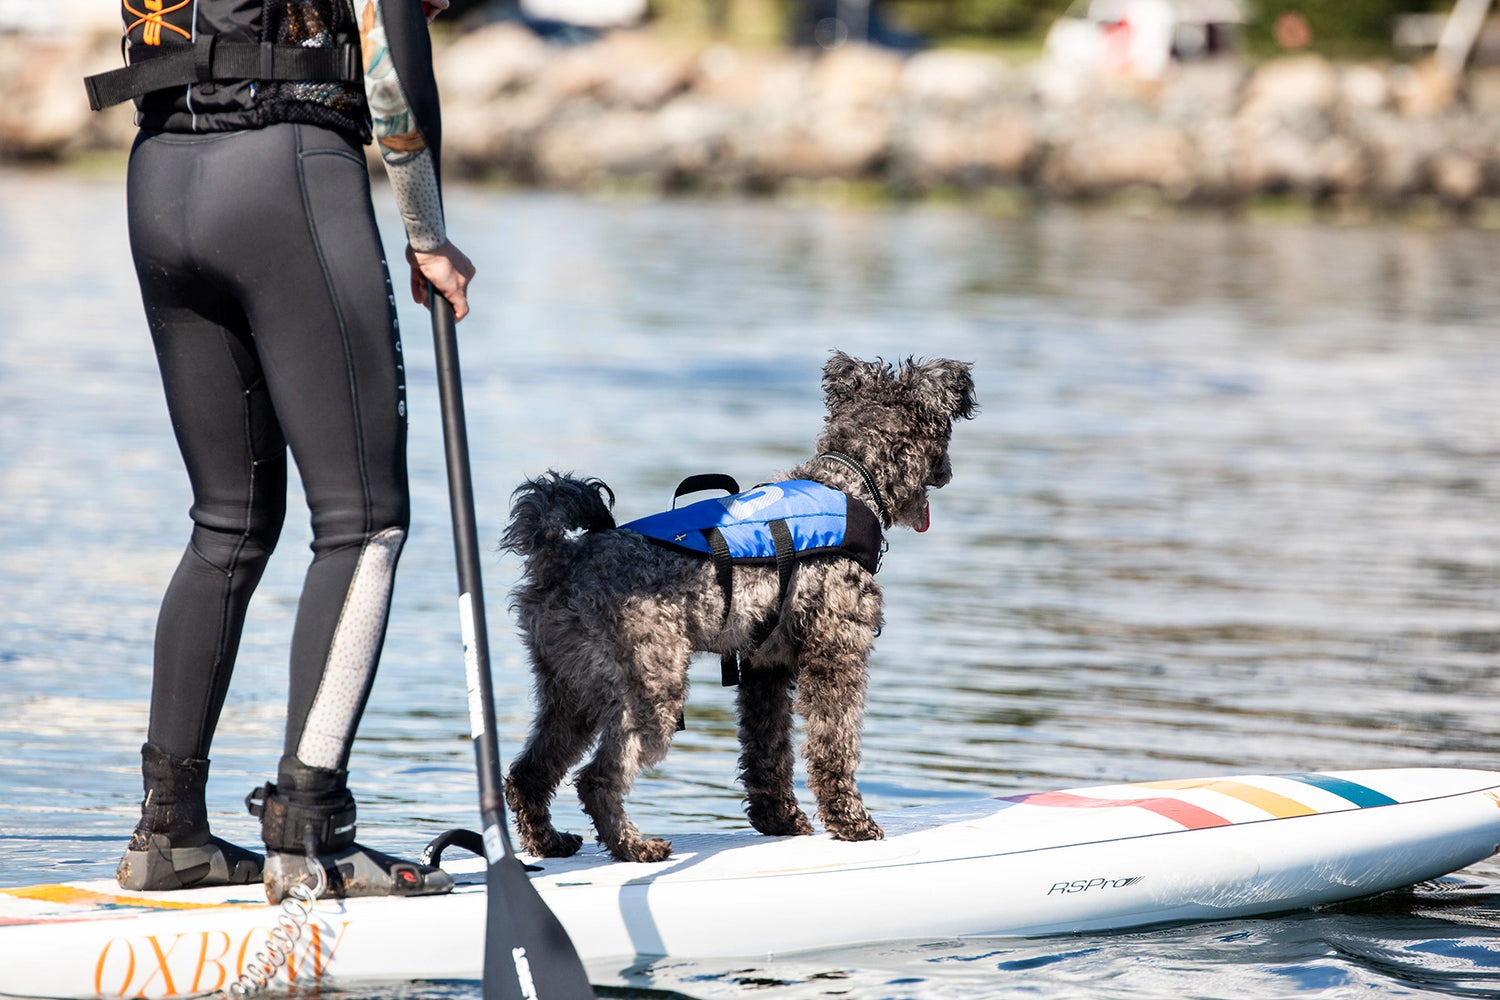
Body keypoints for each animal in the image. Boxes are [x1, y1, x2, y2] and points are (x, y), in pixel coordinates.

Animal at [498, 350, 978, 863]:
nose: (948, 472)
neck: (849, 481)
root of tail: (561, 558)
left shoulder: (765, 667)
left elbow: (767, 749)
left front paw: (779, 819)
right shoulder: (836, 656)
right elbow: (834, 744)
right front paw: (851, 821)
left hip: (570, 692)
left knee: (529, 773)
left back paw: (548, 841)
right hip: (650, 690)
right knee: (596, 779)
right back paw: (635, 847)